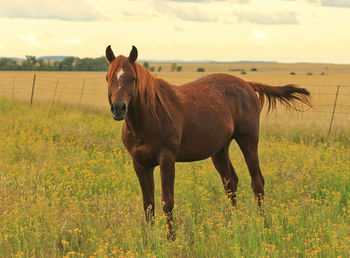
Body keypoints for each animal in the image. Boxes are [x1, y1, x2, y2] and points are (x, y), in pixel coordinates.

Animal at [104, 44, 312, 240]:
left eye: (133, 78)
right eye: (108, 78)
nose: (118, 108)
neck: (149, 117)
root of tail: (247, 84)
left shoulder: (167, 159)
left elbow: (167, 201)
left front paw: (171, 240)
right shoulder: (140, 163)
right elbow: (148, 204)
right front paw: (149, 240)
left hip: (248, 142)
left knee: (257, 183)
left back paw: (264, 225)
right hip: (220, 150)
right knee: (231, 183)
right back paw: (233, 225)